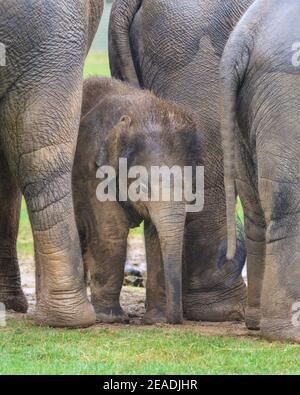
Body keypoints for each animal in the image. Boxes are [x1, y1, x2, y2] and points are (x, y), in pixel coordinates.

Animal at [73, 77, 202, 324]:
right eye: (142, 188)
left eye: (191, 190)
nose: (177, 319)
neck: (142, 113)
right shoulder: (90, 170)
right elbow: (110, 231)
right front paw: (110, 319)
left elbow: (155, 236)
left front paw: (156, 319)